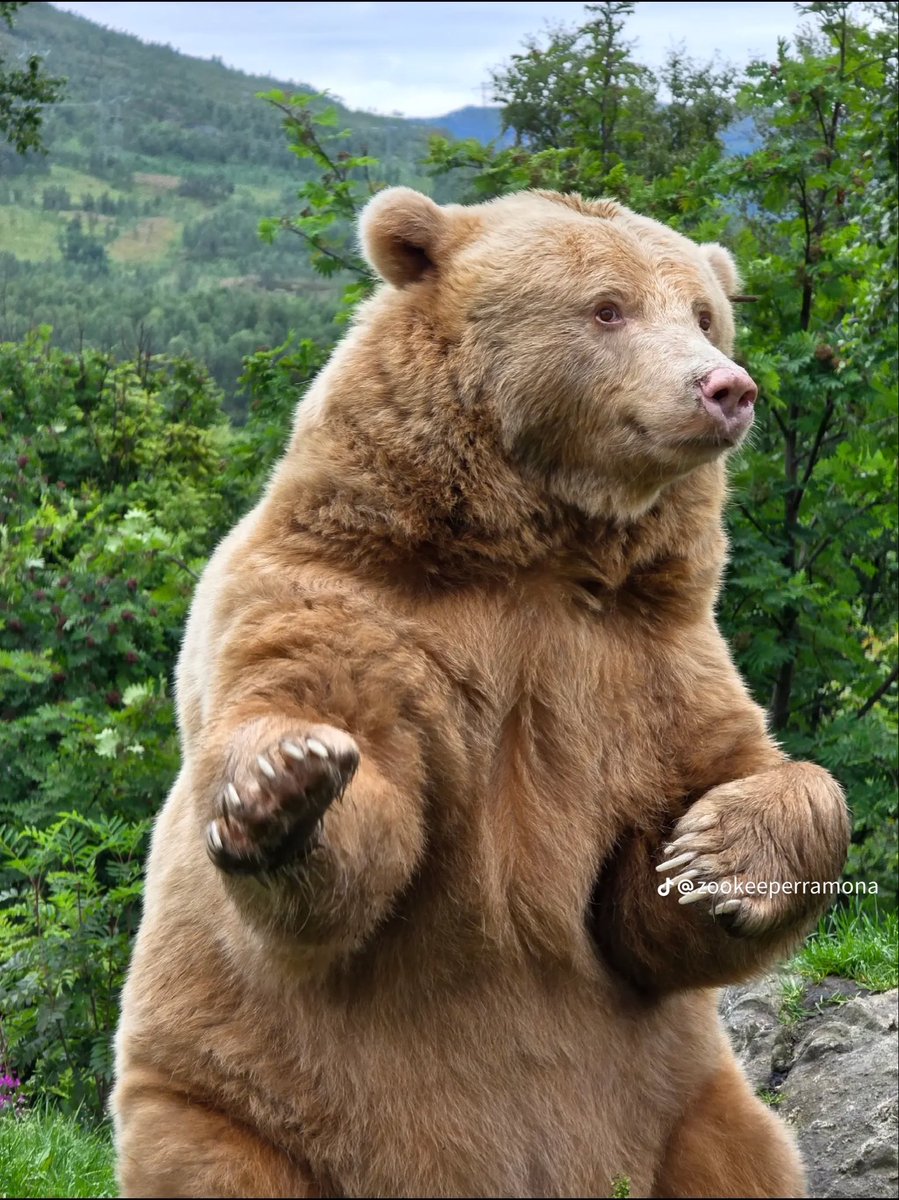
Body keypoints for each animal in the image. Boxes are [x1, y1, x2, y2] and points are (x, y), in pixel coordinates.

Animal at [112, 187, 850, 1198]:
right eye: (607, 308)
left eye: (704, 314)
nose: (724, 388)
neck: (532, 552)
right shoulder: (352, 606)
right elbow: (356, 820)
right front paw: (284, 786)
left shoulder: (645, 665)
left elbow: (660, 885)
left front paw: (719, 853)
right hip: (233, 1097)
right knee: (217, 1155)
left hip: (684, 1105)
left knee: (745, 1151)